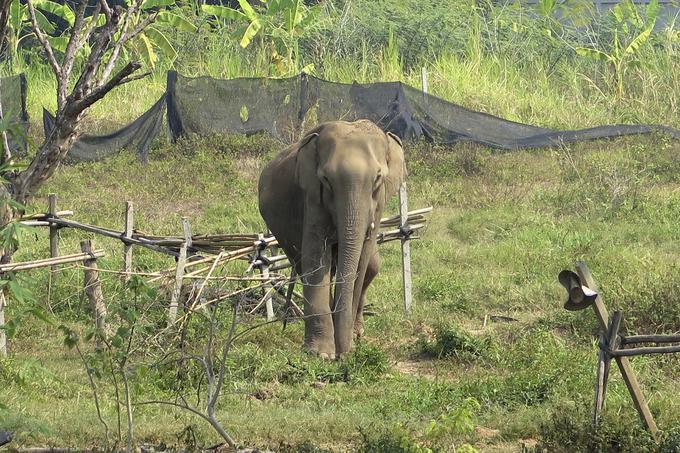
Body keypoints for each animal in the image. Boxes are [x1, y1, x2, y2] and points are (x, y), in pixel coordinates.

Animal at [256, 119, 404, 356]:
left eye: (377, 179)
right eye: (326, 179)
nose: (344, 355)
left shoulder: (379, 203)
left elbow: (362, 261)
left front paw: (347, 344)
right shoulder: (312, 197)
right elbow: (315, 258)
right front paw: (321, 353)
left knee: (372, 266)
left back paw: (357, 332)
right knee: (306, 266)